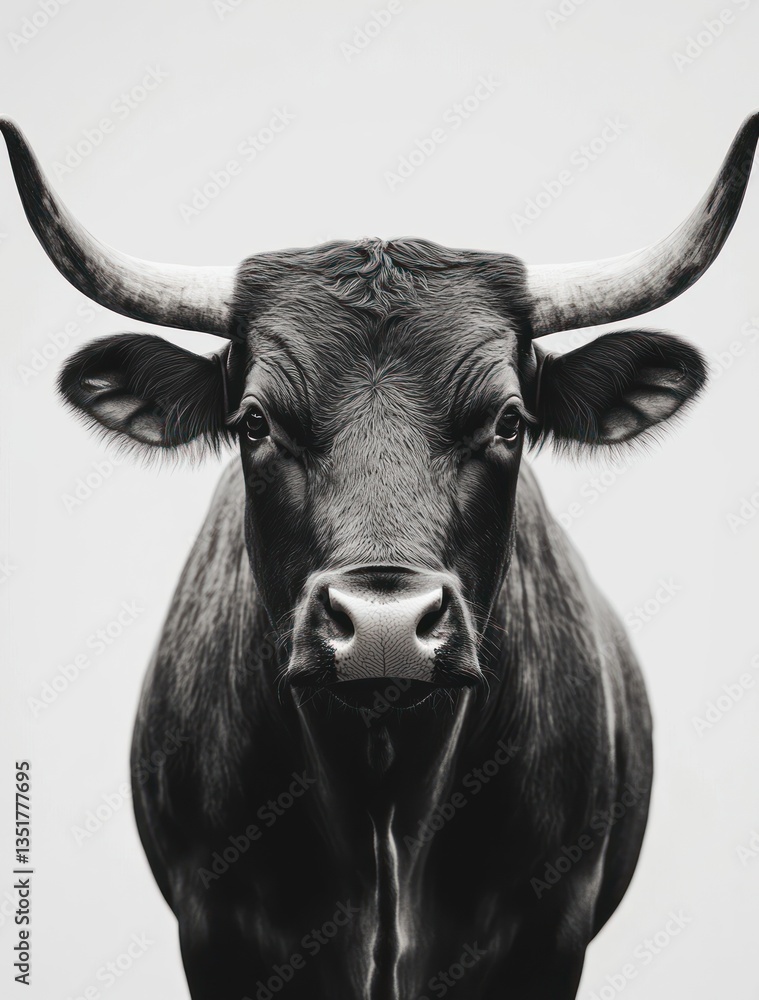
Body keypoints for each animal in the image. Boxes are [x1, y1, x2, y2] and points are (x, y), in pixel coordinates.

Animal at [3, 112, 757, 1000]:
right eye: (254, 421)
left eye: (508, 421)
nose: (384, 627)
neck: (382, 787)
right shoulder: (216, 928)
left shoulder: (547, 927)